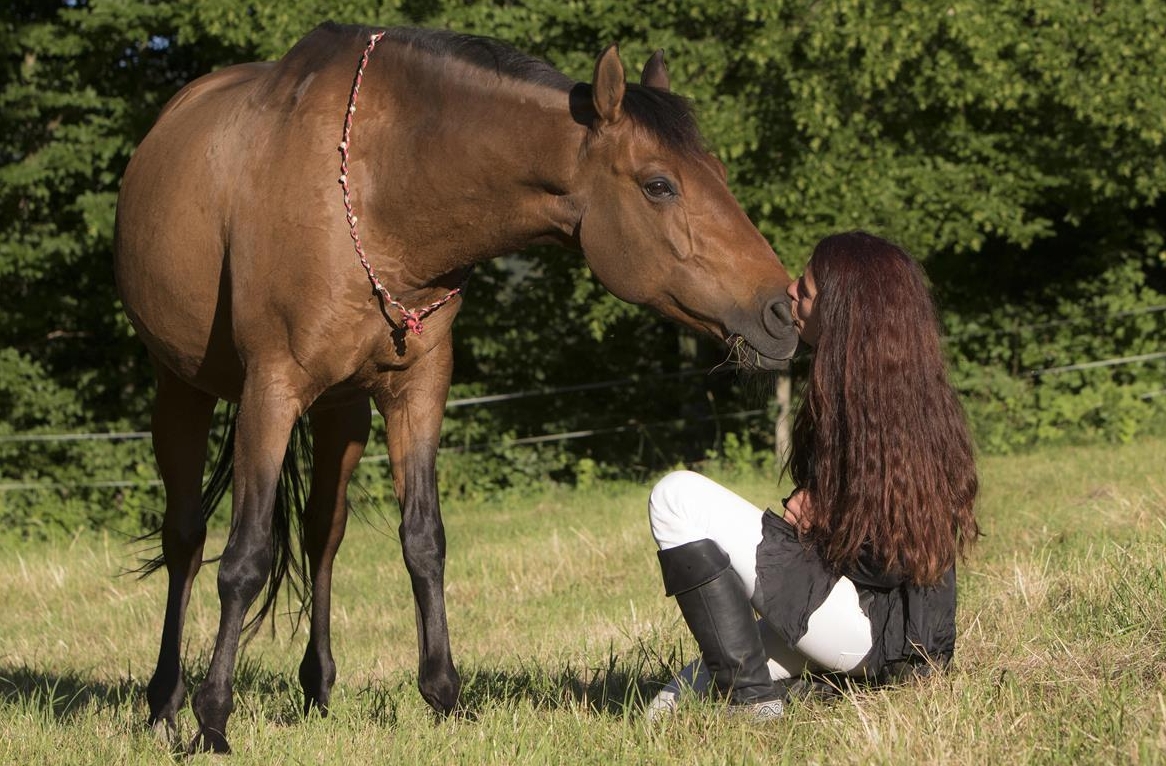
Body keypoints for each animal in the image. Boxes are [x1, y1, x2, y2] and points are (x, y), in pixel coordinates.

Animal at [113, 22, 797, 753]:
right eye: (660, 184)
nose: (782, 313)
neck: (378, 190)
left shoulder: (417, 391)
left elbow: (424, 540)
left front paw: (444, 695)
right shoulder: (270, 391)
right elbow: (243, 556)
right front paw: (212, 721)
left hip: (342, 412)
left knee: (322, 534)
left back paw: (317, 689)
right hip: (180, 389)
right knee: (185, 538)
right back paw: (165, 701)